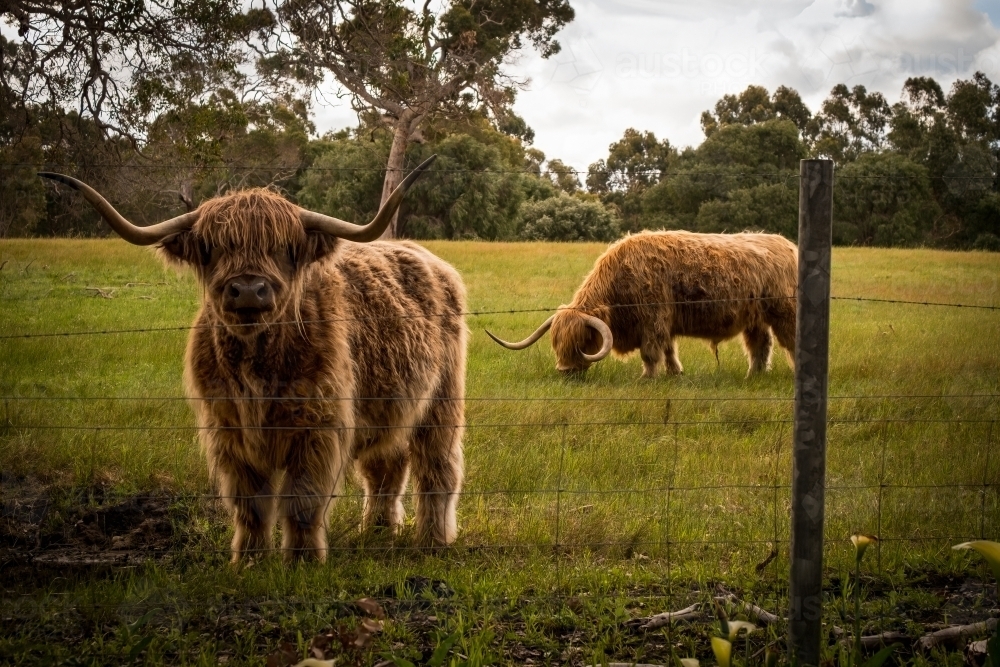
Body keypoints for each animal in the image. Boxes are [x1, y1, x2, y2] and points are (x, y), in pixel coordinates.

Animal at [41, 158, 470, 564]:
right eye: (215, 248)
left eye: (283, 248)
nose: (248, 289)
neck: (257, 367)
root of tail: (429, 258)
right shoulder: (229, 432)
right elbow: (250, 506)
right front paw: (248, 561)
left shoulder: (319, 428)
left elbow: (302, 502)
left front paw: (302, 562)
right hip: (392, 406)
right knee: (385, 468)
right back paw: (378, 533)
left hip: (442, 401)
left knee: (437, 469)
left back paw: (432, 541)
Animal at [486, 231, 796, 378]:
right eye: (556, 343)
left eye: (582, 340)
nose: (564, 371)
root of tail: (788, 245)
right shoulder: (665, 323)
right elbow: (669, 350)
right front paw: (675, 373)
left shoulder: (653, 319)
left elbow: (650, 353)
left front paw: (647, 377)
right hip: (755, 318)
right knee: (760, 346)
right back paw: (752, 375)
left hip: (784, 312)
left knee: (789, 342)